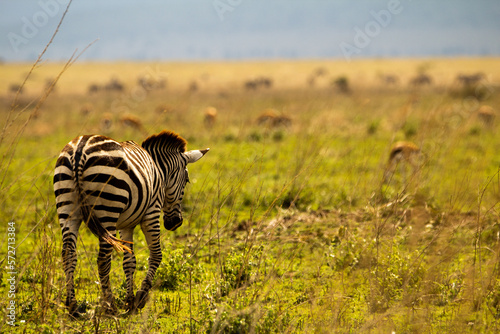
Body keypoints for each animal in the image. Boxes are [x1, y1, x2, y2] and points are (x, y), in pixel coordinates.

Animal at [54, 129, 209, 314]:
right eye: (186, 180)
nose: (176, 223)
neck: (159, 170)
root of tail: (80, 149)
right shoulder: (152, 212)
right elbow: (156, 254)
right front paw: (141, 296)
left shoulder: (126, 225)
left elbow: (129, 261)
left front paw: (129, 300)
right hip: (108, 208)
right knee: (103, 259)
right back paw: (109, 305)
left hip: (67, 208)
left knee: (68, 254)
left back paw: (73, 305)